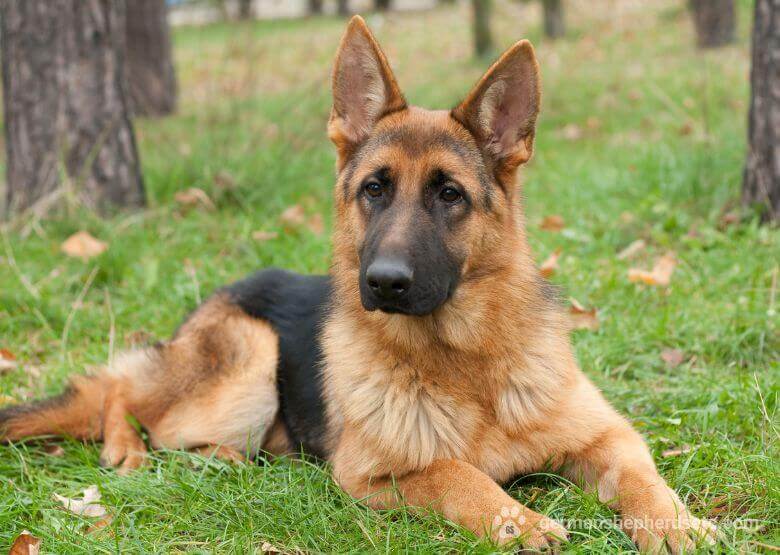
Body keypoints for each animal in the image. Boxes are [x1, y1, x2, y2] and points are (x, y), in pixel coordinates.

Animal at [1, 16, 720, 552]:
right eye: (375, 188)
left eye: (450, 195)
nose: (385, 282)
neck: (467, 364)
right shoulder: (375, 474)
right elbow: (456, 472)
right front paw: (517, 519)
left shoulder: (609, 437)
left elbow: (646, 480)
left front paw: (680, 525)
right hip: (248, 365)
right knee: (121, 390)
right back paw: (127, 449)